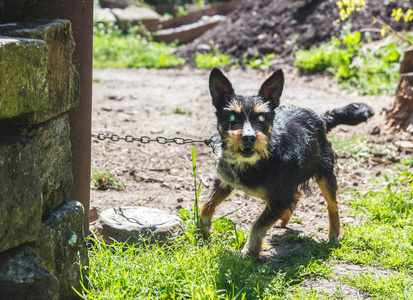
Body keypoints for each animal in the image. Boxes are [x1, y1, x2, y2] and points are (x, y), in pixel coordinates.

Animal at [200, 68, 374, 258]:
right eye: (231, 116)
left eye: (261, 118)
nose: (249, 138)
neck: (258, 160)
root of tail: (320, 118)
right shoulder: (224, 181)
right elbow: (205, 206)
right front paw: (203, 233)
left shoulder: (280, 198)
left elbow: (258, 224)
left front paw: (250, 251)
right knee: (297, 193)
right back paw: (283, 219)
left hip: (325, 172)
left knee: (332, 204)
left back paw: (334, 233)